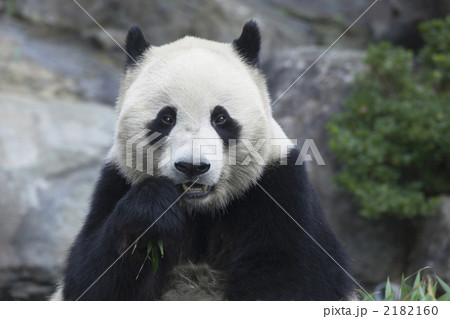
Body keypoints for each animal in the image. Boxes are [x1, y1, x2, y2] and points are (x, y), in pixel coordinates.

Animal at [51, 21, 356, 302]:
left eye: (220, 118)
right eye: (166, 118)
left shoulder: (279, 187)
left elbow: (288, 277)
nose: (193, 167)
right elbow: (89, 279)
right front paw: (152, 210)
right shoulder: (117, 181)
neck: (200, 212)